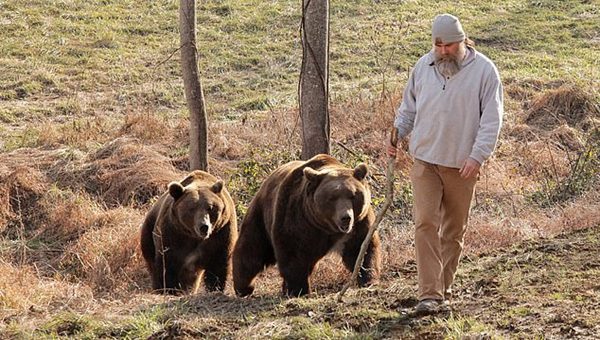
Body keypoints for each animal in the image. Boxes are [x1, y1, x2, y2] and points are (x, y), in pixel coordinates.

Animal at [231, 154, 380, 298]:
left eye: (353, 195)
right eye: (332, 198)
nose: (346, 218)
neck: (327, 226)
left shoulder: (359, 223)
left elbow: (361, 249)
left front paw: (368, 279)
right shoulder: (297, 217)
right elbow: (293, 254)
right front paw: (299, 290)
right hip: (261, 213)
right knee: (252, 248)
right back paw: (244, 287)